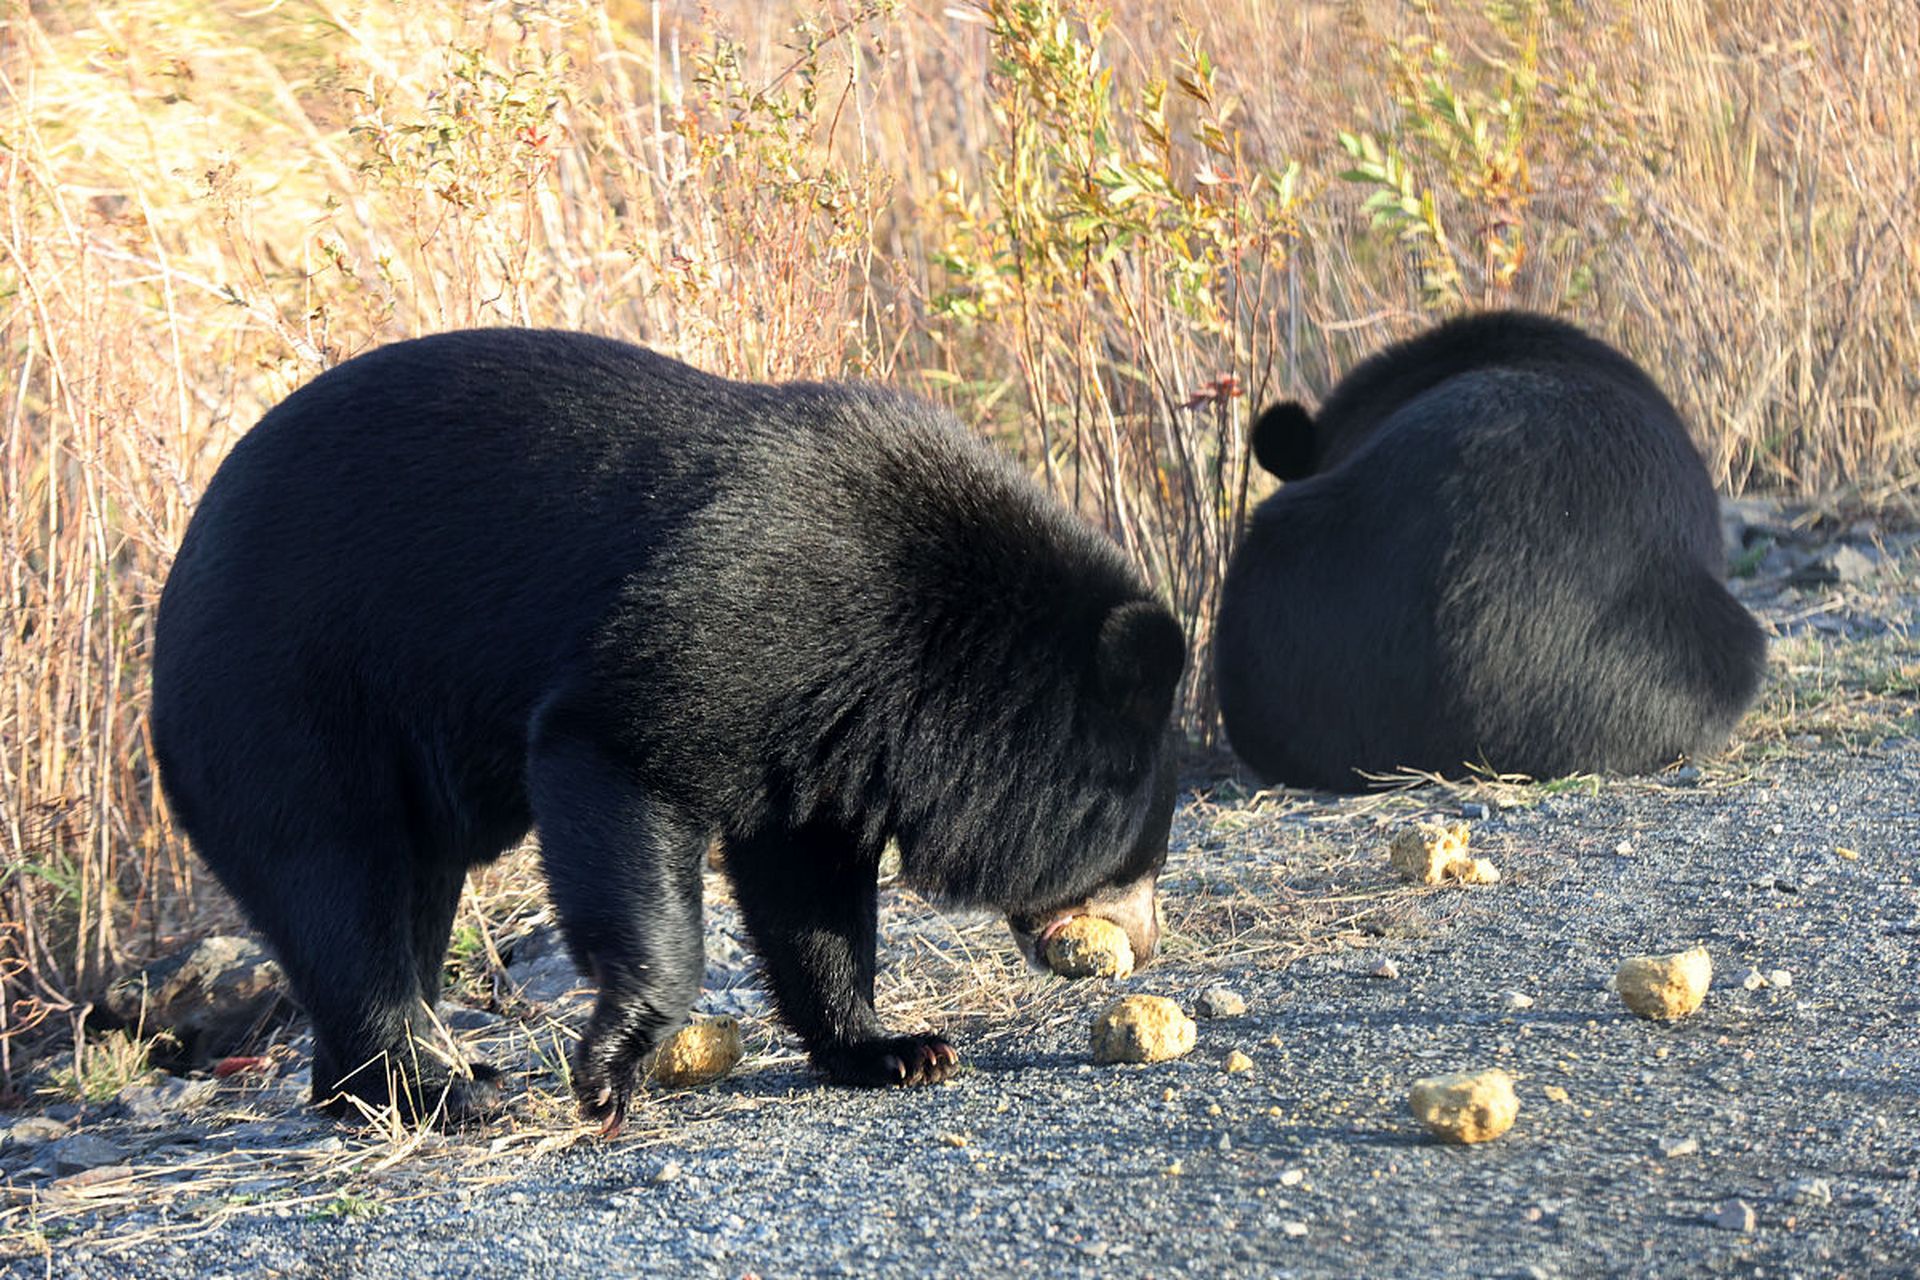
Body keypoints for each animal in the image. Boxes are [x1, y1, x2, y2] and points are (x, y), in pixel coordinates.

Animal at [153, 330, 1182, 1128]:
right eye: (1139, 858)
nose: (1146, 945)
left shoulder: (829, 727)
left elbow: (806, 884)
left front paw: (895, 1049)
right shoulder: (739, 618)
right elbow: (616, 752)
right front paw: (610, 1068)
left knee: (407, 900)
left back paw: (400, 1084)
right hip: (284, 705)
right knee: (338, 882)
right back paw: (433, 1093)